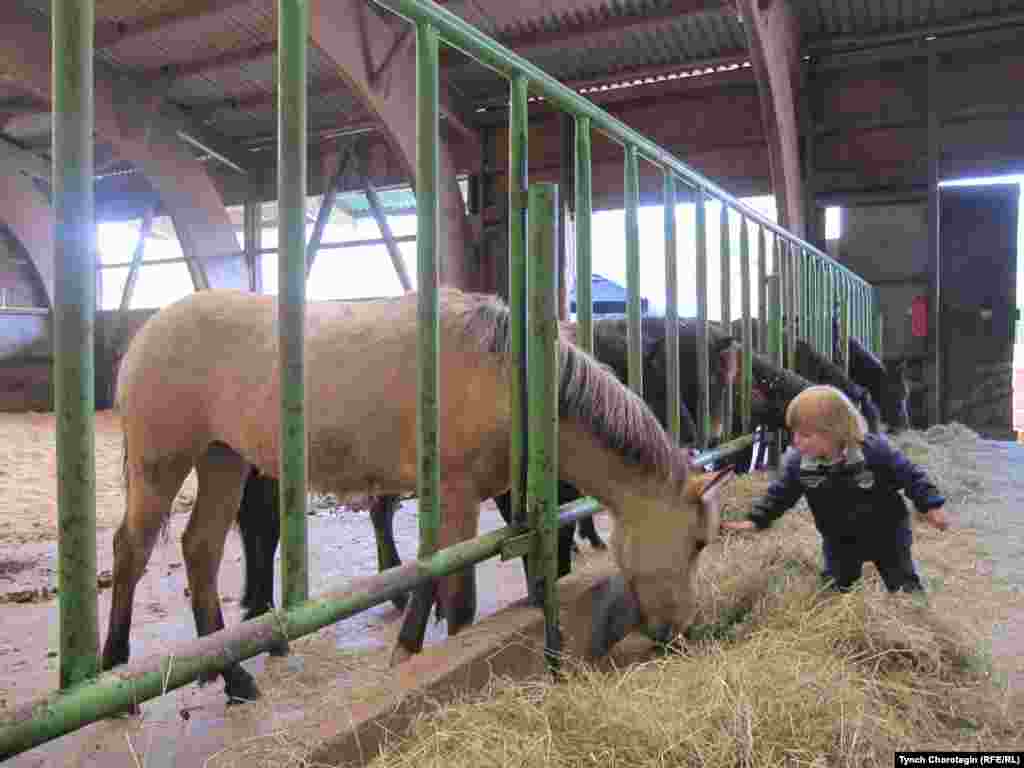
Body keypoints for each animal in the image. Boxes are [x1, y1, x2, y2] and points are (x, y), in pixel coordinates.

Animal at [108, 286, 733, 704]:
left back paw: (232, 678)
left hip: (223, 459)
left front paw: (419, 647)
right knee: (131, 549)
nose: (679, 632)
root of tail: (149, 328)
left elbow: (438, 576)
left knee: (201, 550)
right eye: (698, 543)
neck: (508, 374)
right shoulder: (456, 492)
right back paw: (115, 666)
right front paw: (440, 653)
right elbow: (454, 593)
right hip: (163, 463)